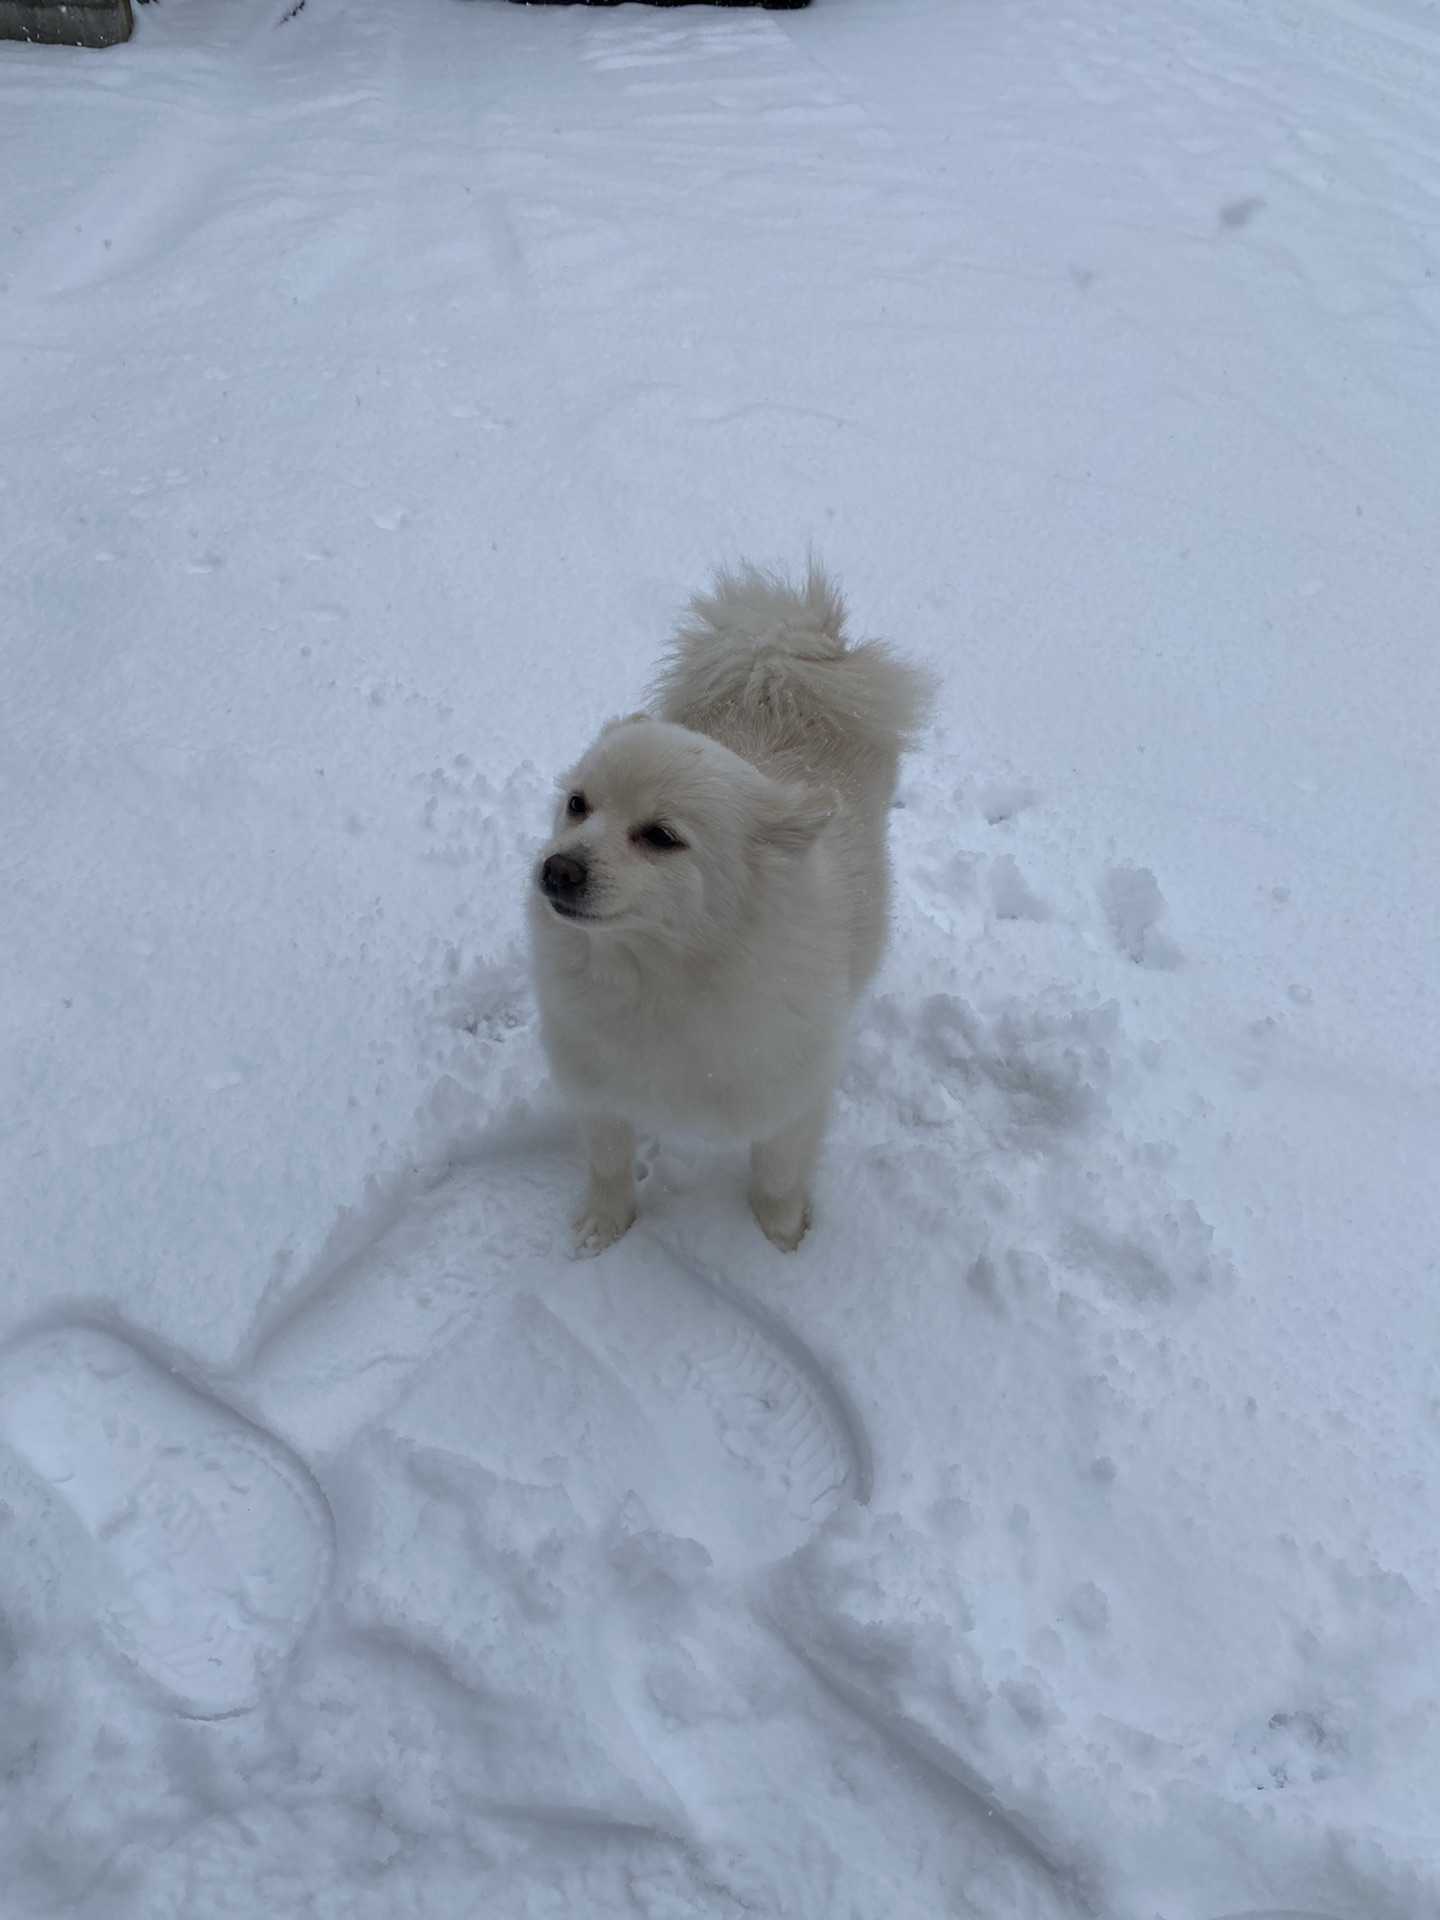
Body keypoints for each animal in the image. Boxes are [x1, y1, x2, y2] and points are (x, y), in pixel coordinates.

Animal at [529, 564, 936, 1259]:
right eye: (578, 804)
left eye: (661, 836)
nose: (556, 869)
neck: (662, 979)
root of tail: (777, 661)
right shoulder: (598, 1085)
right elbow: (607, 1160)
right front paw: (603, 1228)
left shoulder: (790, 1097)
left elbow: (777, 1175)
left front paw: (781, 1242)